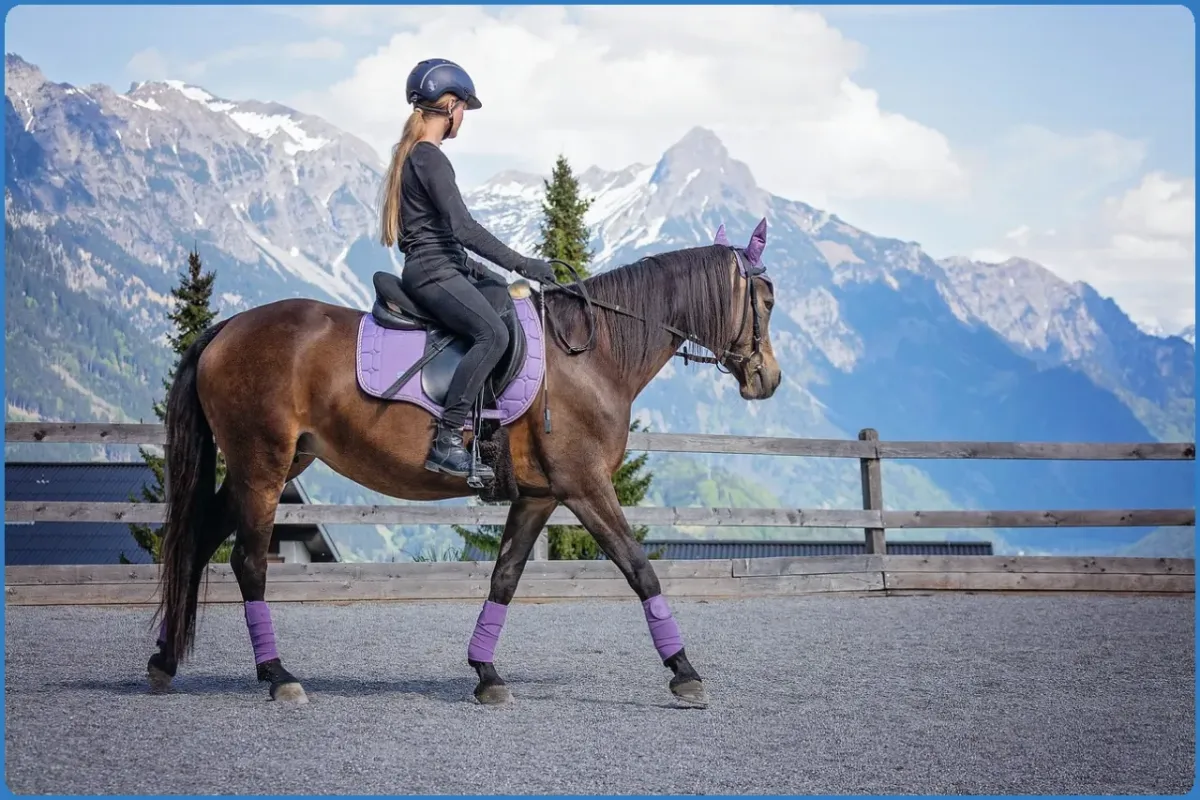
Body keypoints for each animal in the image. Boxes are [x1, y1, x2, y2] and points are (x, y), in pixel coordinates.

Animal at [147, 218, 782, 707]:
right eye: (767, 300)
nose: (768, 379)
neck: (590, 355)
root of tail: (228, 327)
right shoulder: (585, 486)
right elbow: (638, 567)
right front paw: (685, 672)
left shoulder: (540, 495)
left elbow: (505, 577)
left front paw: (486, 675)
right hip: (263, 465)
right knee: (248, 563)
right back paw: (278, 677)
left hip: (272, 464)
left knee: (198, 541)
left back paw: (165, 661)